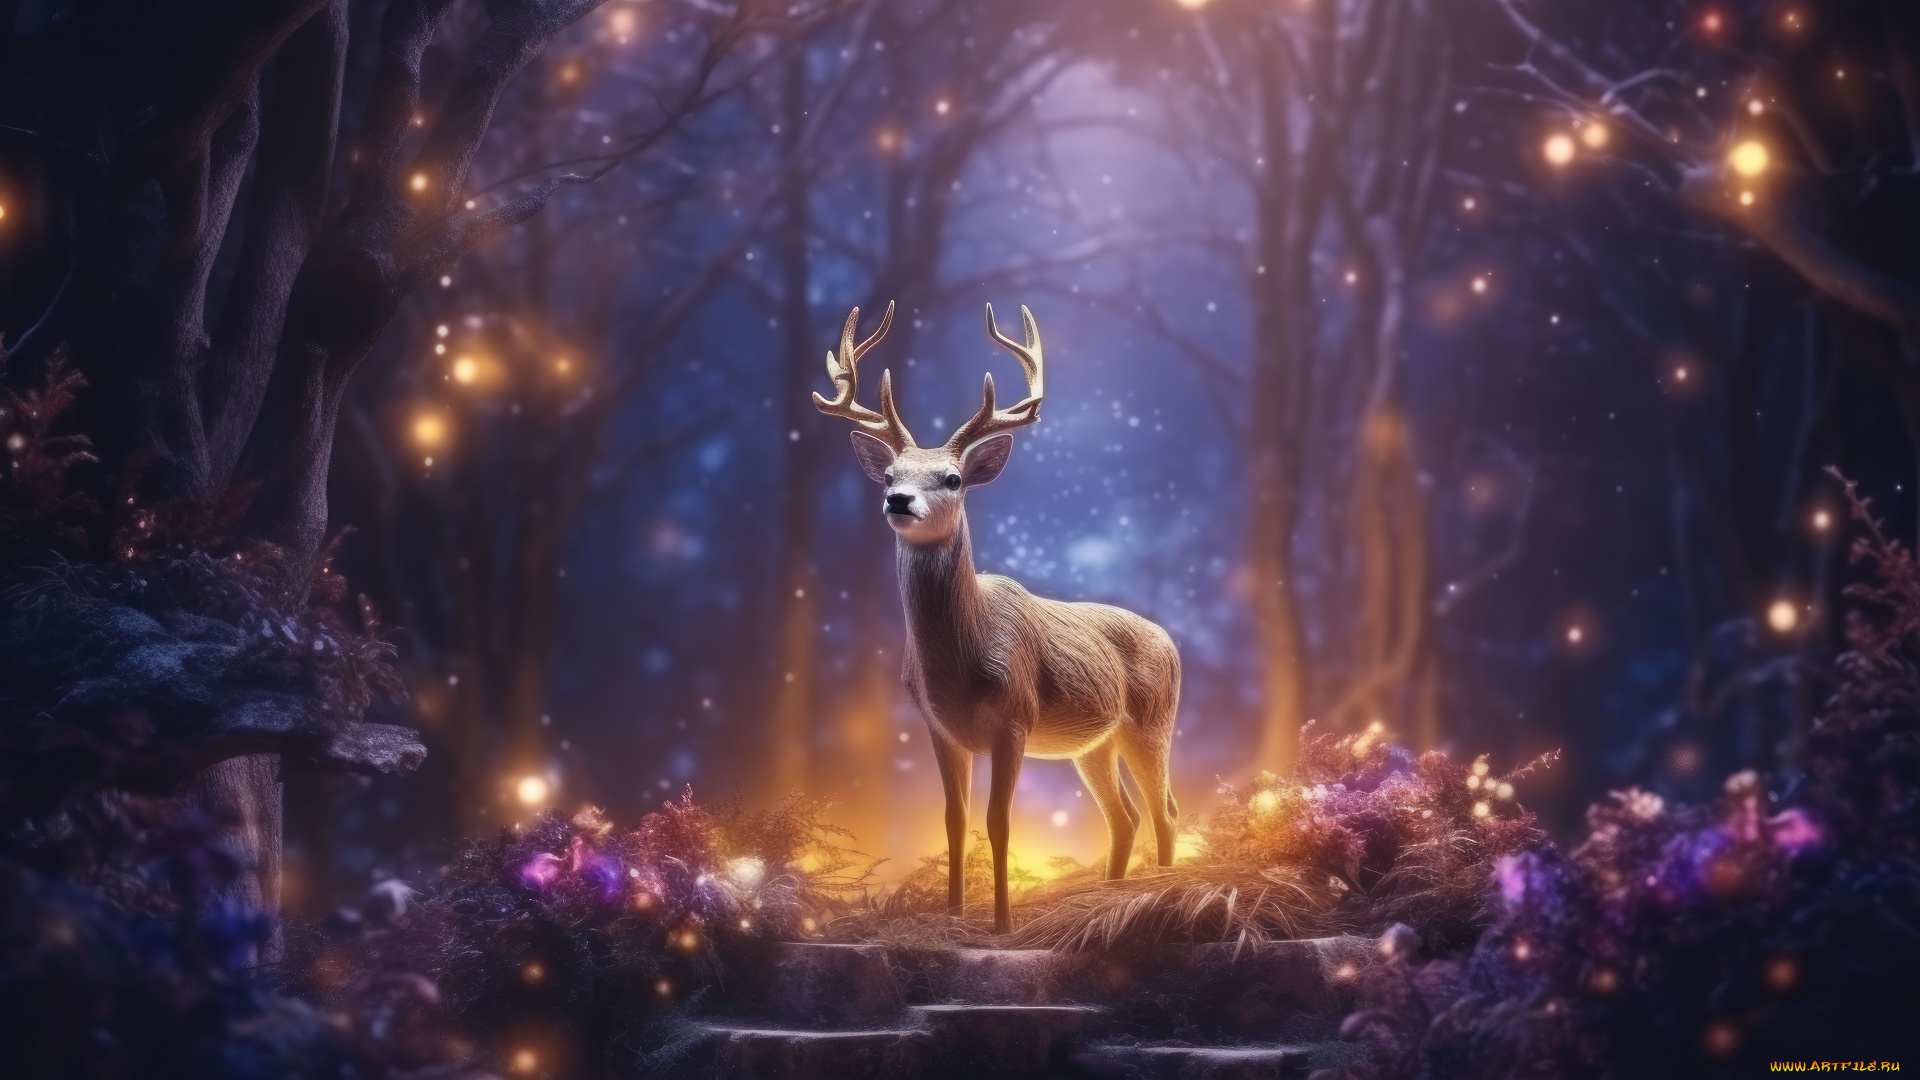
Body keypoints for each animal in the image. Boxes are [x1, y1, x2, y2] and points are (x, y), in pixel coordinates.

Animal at [813, 301, 1182, 934]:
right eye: (889, 476)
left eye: (953, 478)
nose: (898, 500)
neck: (961, 661)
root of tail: (1174, 643)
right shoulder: (938, 727)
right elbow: (954, 820)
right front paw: (954, 913)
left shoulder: (1015, 718)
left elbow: (999, 822)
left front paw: (1003, 925)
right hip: (1094, 745)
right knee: (1126, 815)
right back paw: (1109, 894)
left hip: (1152, 722)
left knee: (1163, 810)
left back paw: (1156, 894)